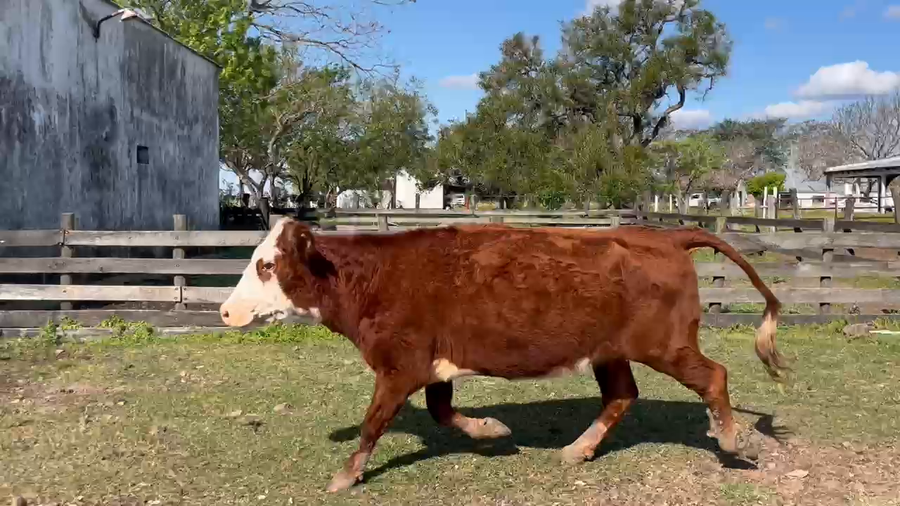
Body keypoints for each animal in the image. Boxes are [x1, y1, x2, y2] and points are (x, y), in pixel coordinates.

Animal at [219, 218, 789, 493]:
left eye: (266, 265)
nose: (225, 311)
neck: (374, 277)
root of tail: (667, 236)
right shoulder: (432, 366)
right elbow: (442, 411)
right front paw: (492, 430)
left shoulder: (399, 366)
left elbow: (373, 423)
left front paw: (345, 475)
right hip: (612, 352)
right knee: (622, 395)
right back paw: (577, 450)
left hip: (665, 344)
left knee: (714, 376)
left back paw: (733, 442)